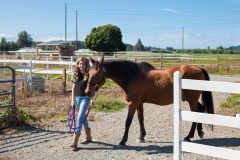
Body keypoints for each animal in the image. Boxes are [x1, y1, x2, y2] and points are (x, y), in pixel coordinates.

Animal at [86, 56, 214, 146]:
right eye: (89, 72)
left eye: (97, 73)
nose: (87, 91)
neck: (132, 76)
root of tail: (199, 68)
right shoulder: (139, 103)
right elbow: (140, 119)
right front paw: (141, 137)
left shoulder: (132, 103)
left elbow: (128, 121)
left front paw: (123, 140)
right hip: (191, 99)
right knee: (200, 109)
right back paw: (200, 132)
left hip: (192, 99)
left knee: (195, 113)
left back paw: (189, 136)